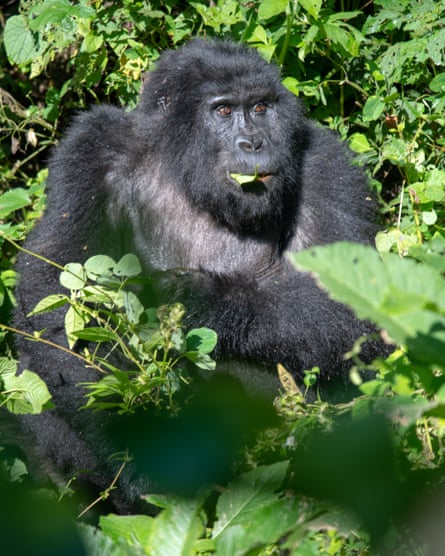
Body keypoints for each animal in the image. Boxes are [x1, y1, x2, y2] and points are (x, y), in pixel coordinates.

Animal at [13, 40, 382, 512]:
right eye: (222, 111)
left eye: (260, 107)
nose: (253, 142)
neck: (182, 164)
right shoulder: (95, 148)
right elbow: (55, 293)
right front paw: (129, 446)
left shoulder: (324, 161)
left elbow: (356, 312)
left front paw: (190, 299)